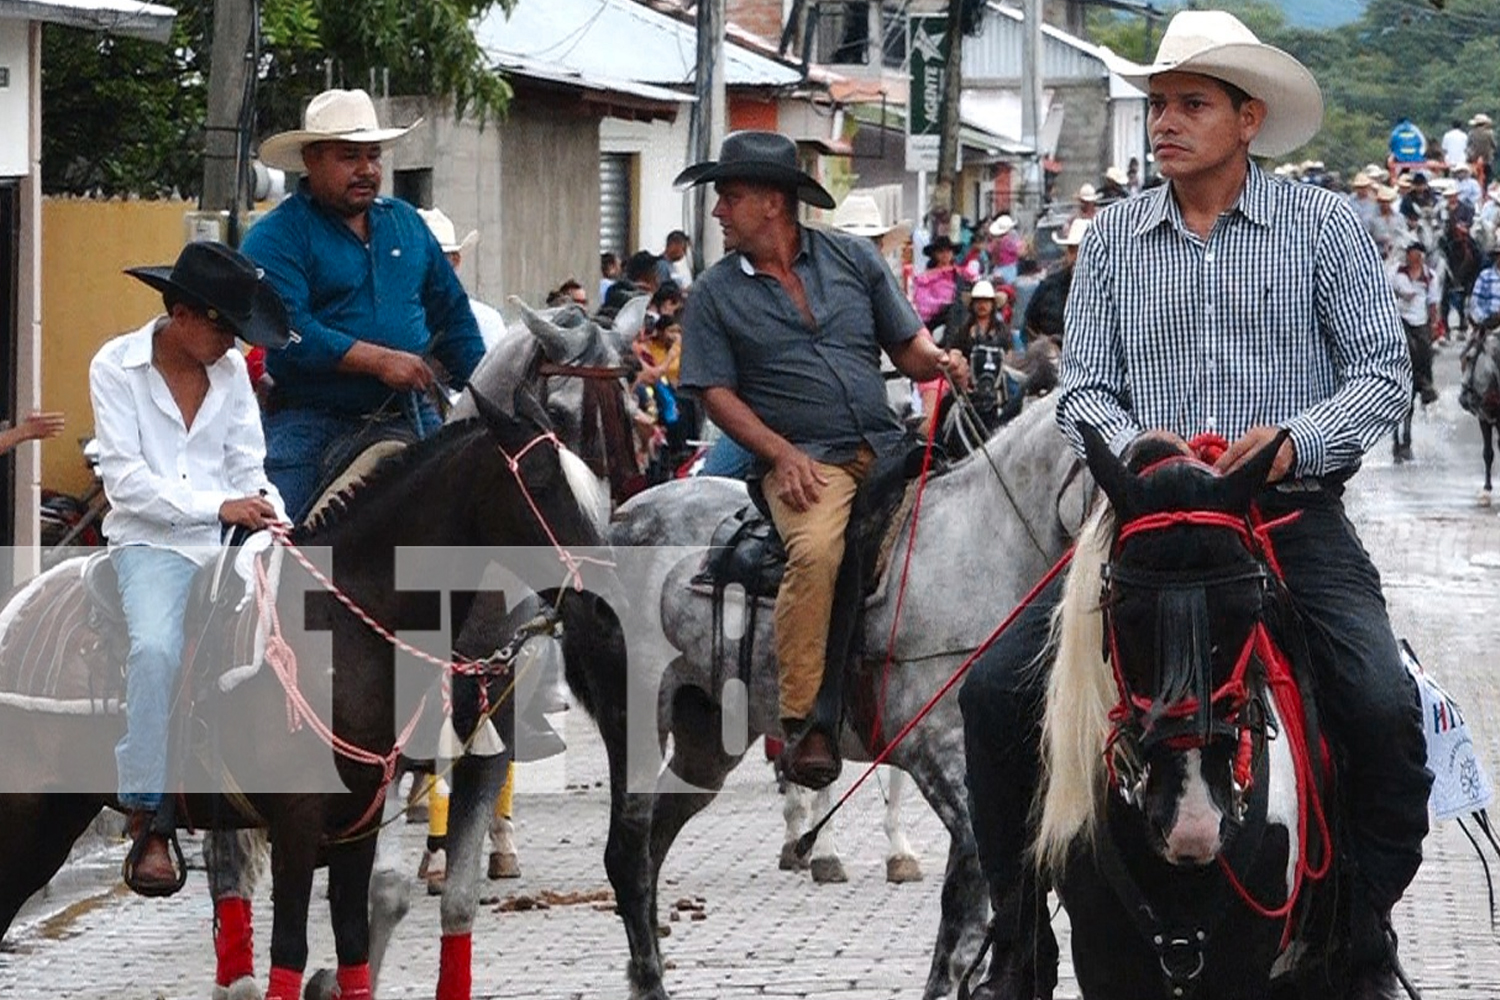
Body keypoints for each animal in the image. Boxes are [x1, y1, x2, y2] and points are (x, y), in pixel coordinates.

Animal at [1, 389, 609, 1000]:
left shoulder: (358, 822)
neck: (340, 628)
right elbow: (290, 952)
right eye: (541, 483)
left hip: (58, 813)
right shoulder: (297, 821)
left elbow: (356, 944)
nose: (607, 595)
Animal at [603, 392, 1086, 1000]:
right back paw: (649, 979)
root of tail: (620, 519)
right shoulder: (944, 757)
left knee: (654, 843)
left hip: (706, 742)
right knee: (628, 852)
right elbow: (971, 913)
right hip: (635, 714)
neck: (979, 555)